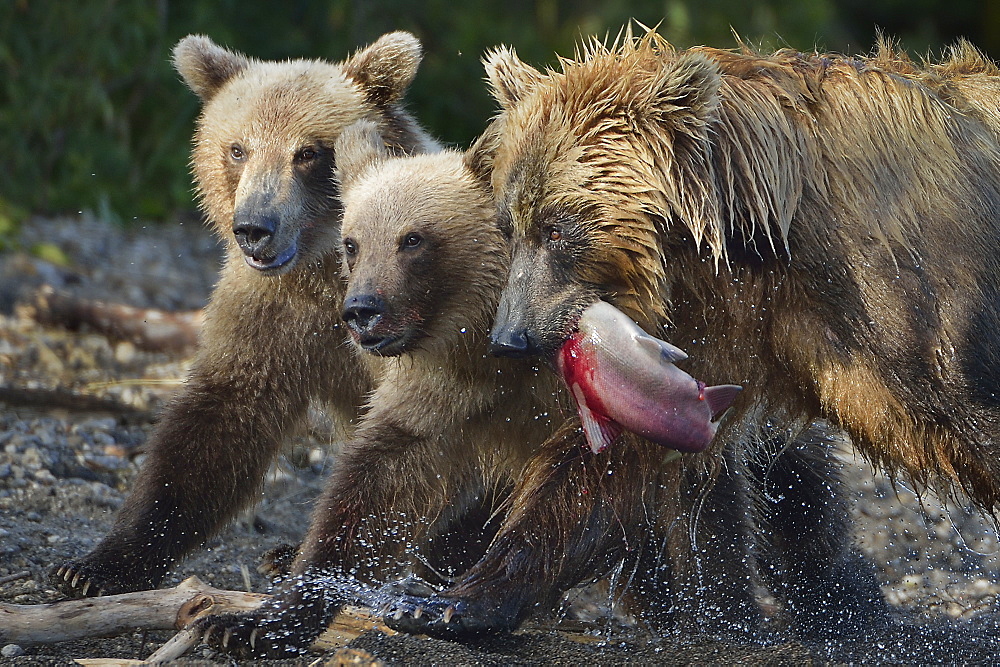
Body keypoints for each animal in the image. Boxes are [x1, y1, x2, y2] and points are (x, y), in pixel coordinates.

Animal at [52, 31, 440, 596]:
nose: (255, 228)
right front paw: (96, 565)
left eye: (307, 152)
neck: (321, 272)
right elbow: (215, 425)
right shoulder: (270, 313)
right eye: (238, 147)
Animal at [191, 120, 572, 656]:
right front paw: (253, 622)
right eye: (352, 243)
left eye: (412, 239)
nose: (361, 310)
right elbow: (378, 480)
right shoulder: (442, 384)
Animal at [386, 30, 1000, 640]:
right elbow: (612, 456)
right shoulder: (721, 321)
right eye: (511, 225)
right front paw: (442, 602)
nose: (510, 337)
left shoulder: (905, 296)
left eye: (558, 228)